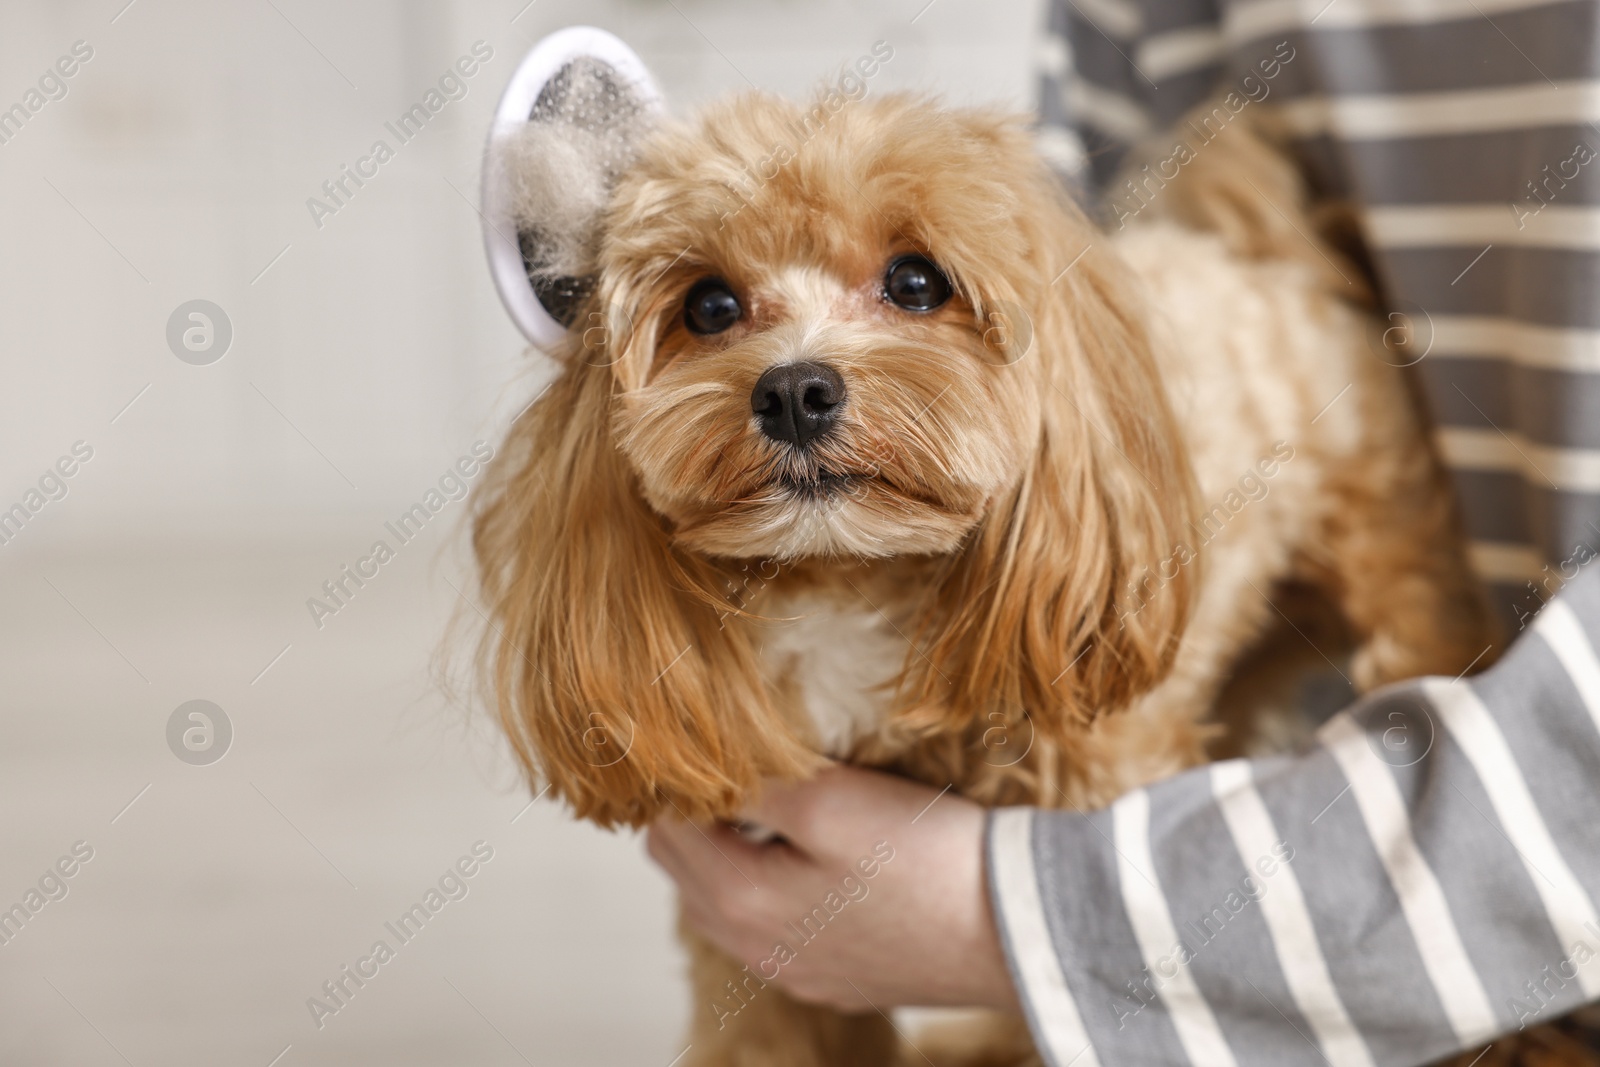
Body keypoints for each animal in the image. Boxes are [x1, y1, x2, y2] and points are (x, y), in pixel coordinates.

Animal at [467, 70, 1491, 1062]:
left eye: (916, 281)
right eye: (710, 306)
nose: (794, 390)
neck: (848, 581)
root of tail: (1258, 255)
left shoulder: (1097, 776)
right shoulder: (755, 943)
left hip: (1392, 578)